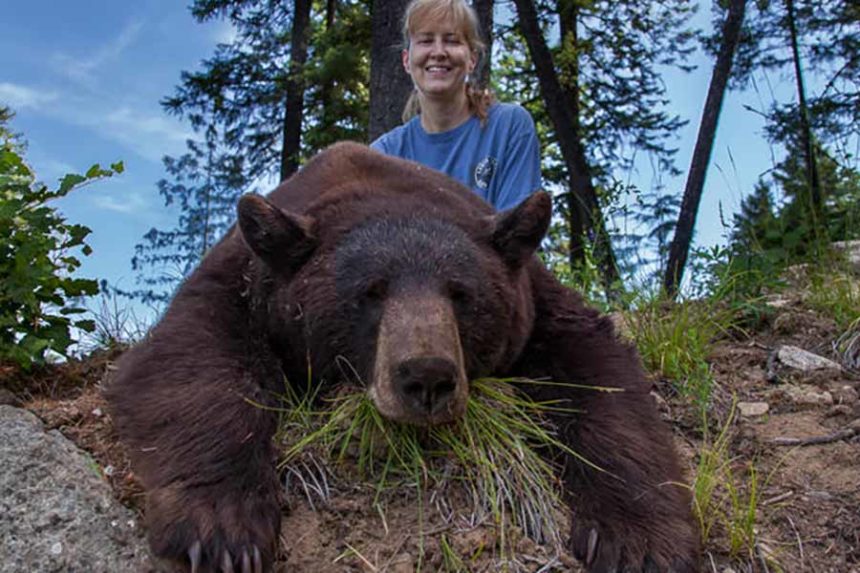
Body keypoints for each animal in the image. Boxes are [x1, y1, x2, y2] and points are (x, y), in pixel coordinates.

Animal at [107, 142, 700, 573]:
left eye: (461, 294)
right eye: (371, 292)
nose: (427, 377)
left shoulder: (537, 299)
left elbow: (601, 381)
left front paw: (640, 540)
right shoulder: (243, 278)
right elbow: (195, 356)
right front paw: (222, 527)